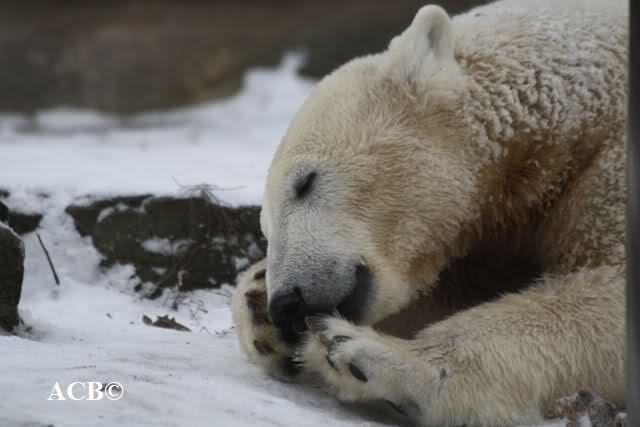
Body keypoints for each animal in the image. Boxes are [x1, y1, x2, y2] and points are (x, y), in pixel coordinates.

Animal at [232, 0, 628, 425]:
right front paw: (259, 307)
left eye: (305, 182)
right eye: (267, 229)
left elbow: (609, 290)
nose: (287, 303)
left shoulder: (610, 163)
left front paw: (367, 355)